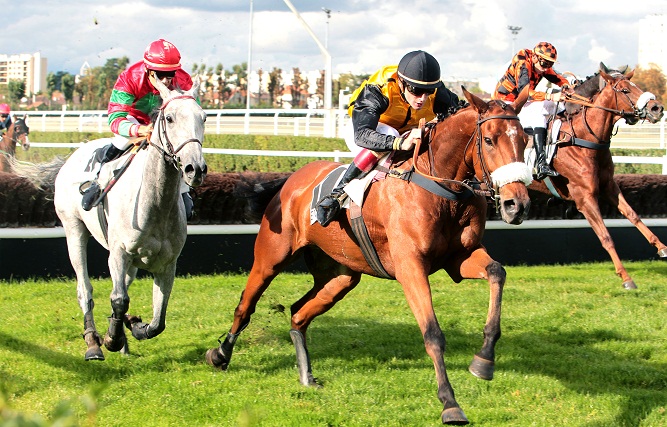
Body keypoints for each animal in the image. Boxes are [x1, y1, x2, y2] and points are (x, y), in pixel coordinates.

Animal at [16, 77, 209, 362]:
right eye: (170, 118)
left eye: (203, 117)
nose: (195, 168)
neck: (155, 203)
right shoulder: (118, 253)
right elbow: (118, 299)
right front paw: (112, 339)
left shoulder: (167, 264)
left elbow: (157, 321)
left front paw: (134, 326)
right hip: (74, 230)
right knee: (85, 289)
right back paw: (93, 343)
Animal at [207, 86, 532, 424]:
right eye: (489, 140)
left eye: (525, 139)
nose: (517, 205)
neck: (442, 188)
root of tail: (295, 178)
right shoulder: (410, 266)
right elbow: (432, 333)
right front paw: (449, 403)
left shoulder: (459, 258)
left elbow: (497, 272)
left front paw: (484, 360)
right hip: (271, 257)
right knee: (245, 306)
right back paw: (220, 355)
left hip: (340, 276)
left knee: (298, 313)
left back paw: (306, 375)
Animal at [528, 62, 664, 290]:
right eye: (625, 90)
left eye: (635, 85)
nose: (657, 108)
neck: (585, 139)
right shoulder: (585, 197)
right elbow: (605, 236)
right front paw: (626, 277)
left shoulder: (609, 187)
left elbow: (633, 215)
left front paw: (662, 246)